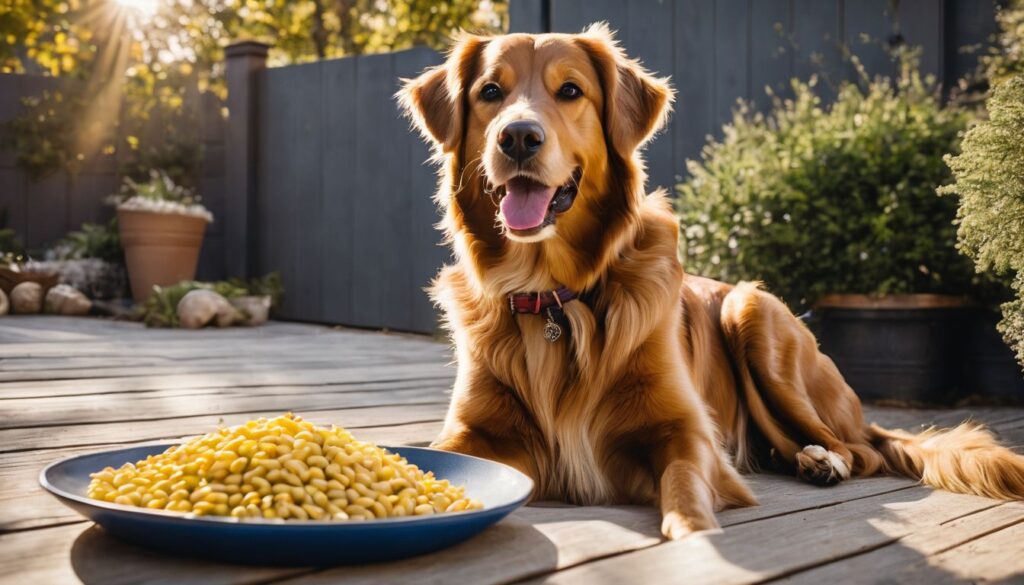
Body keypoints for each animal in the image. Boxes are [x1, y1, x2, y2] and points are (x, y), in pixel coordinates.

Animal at [397, 25, 1024, 540]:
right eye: (490, 93)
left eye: (570, 91)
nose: (518, 138)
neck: (557, 295)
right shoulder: (468, 433)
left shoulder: (686, 431)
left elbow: (685, 489)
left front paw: (695, 538)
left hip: (753, 313)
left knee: (860, 450)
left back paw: (825, 460)